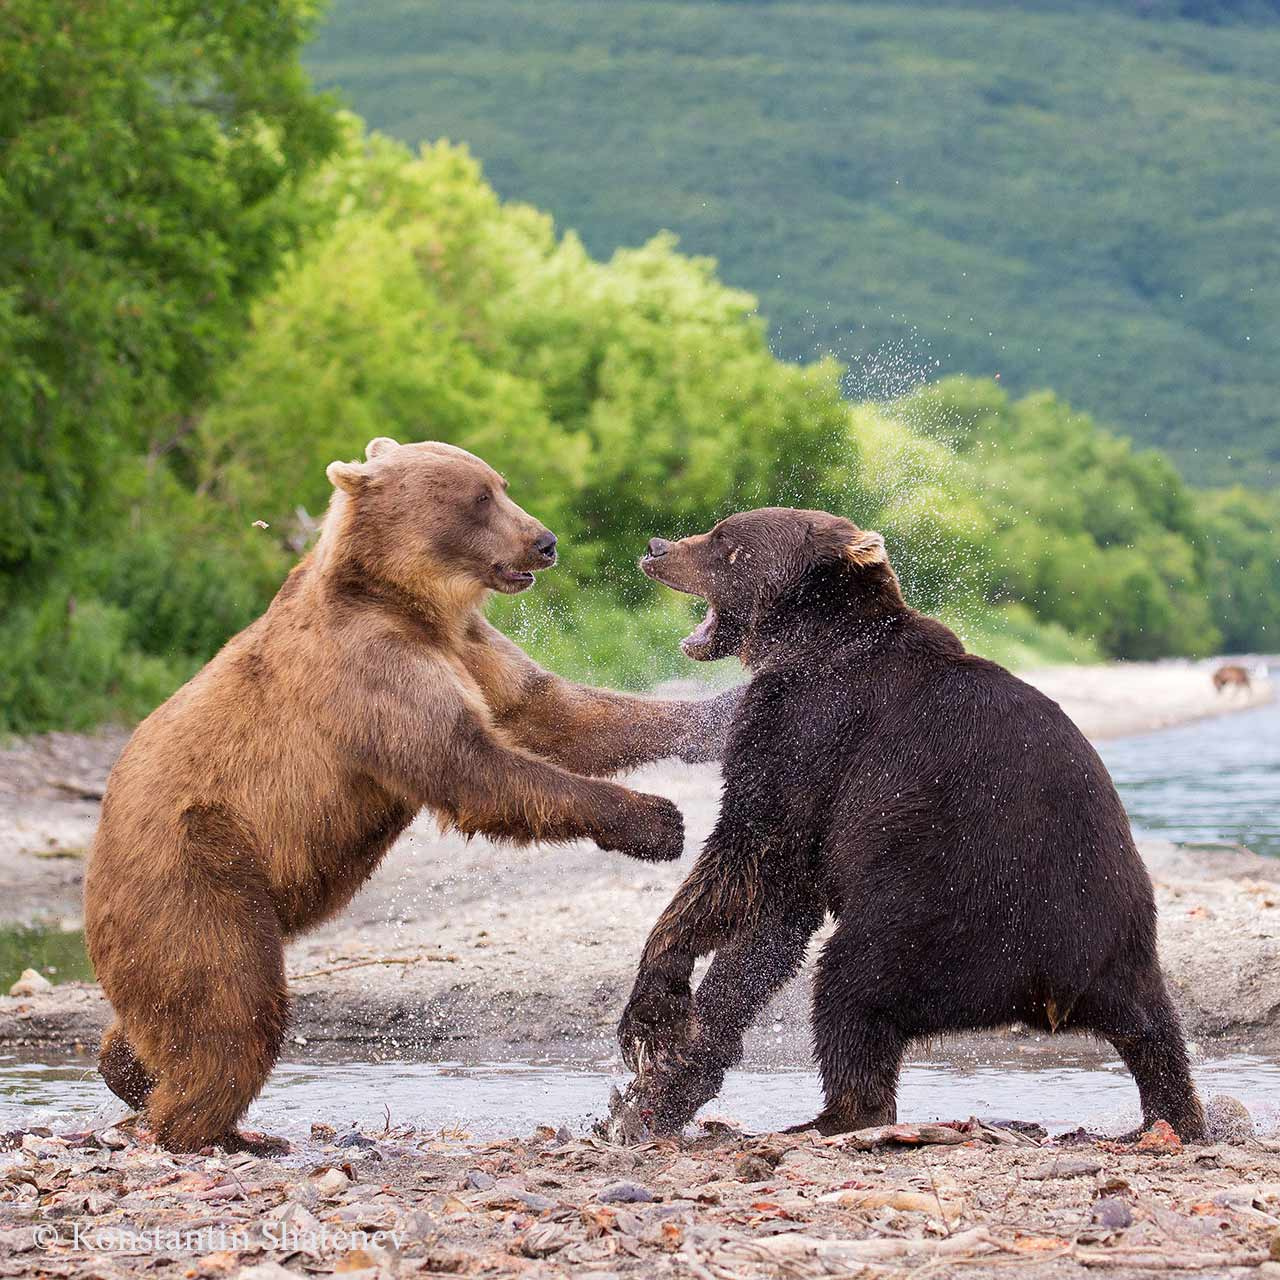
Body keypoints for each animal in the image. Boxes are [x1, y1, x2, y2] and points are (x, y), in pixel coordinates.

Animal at [82, 440, 742, 1152]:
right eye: (479, 498)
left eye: (501, 484)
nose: (544, 542)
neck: (412, 604)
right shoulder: (371, 670)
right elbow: (470, 765)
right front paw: (657, 819)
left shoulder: (467, 644)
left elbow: (552, 711)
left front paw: (719, 714)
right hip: (195, 867)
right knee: (231, 1000)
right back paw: (218, 1131)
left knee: (167, 1014)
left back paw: (131, 1073)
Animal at [614, 504, 1203, 1136]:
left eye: (724, 541)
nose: (655, 546)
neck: (813, 642)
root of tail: (1056, 988)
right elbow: (774, 917)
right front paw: (666, 1077)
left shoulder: (810, 729)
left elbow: (750, 848)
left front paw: (650, 1008)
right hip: (1122, 940)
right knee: (1155, 1031)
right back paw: (1179, 1114)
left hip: (945, 915)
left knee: (850, 987)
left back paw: (832, 1117)